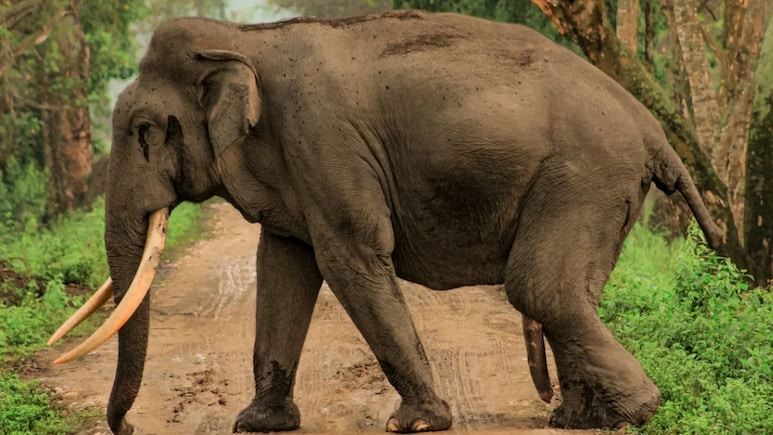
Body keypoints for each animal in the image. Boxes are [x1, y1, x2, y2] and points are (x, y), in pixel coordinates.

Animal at [49, 9, 723, 435]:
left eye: (144, 130)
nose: (128, 426)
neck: (246, 39)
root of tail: (655, 133)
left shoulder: (324, 141)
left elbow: (348, 256)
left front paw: (419, 422)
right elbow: (284, 264)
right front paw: (257, 424)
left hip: (585, 178)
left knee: (541, 288)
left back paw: (635, 412)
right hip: (602, 191)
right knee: (567, 293)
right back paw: (582, 421)